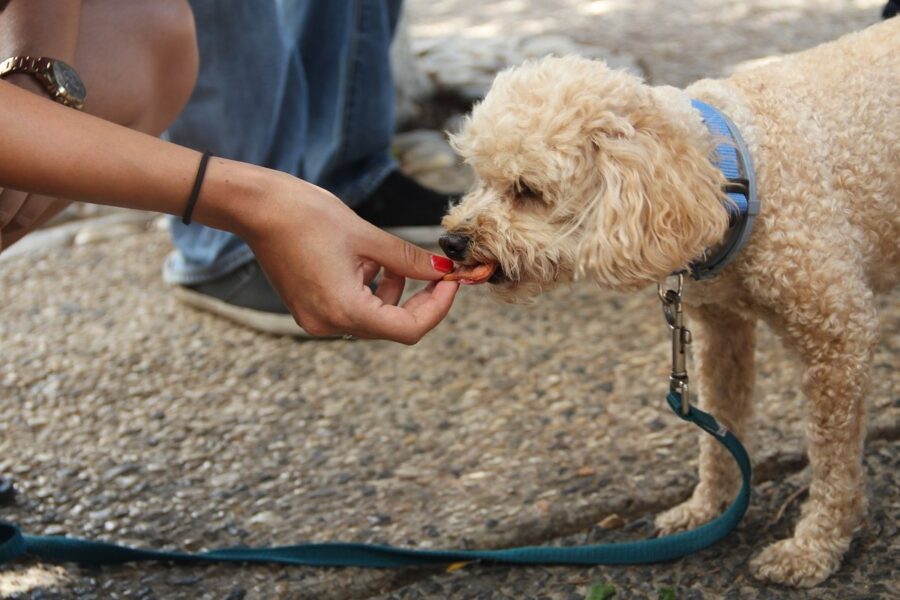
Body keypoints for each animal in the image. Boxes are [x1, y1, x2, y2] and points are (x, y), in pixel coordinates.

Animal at [440, 18, 900, 584]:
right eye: (479, 177)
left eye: (526, 190)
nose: (450, 242)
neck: (735, 174)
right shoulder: (721, 330)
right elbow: (719, 430)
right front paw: (709, 509)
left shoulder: (836, 336)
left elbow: (834, 463)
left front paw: (814, 548)